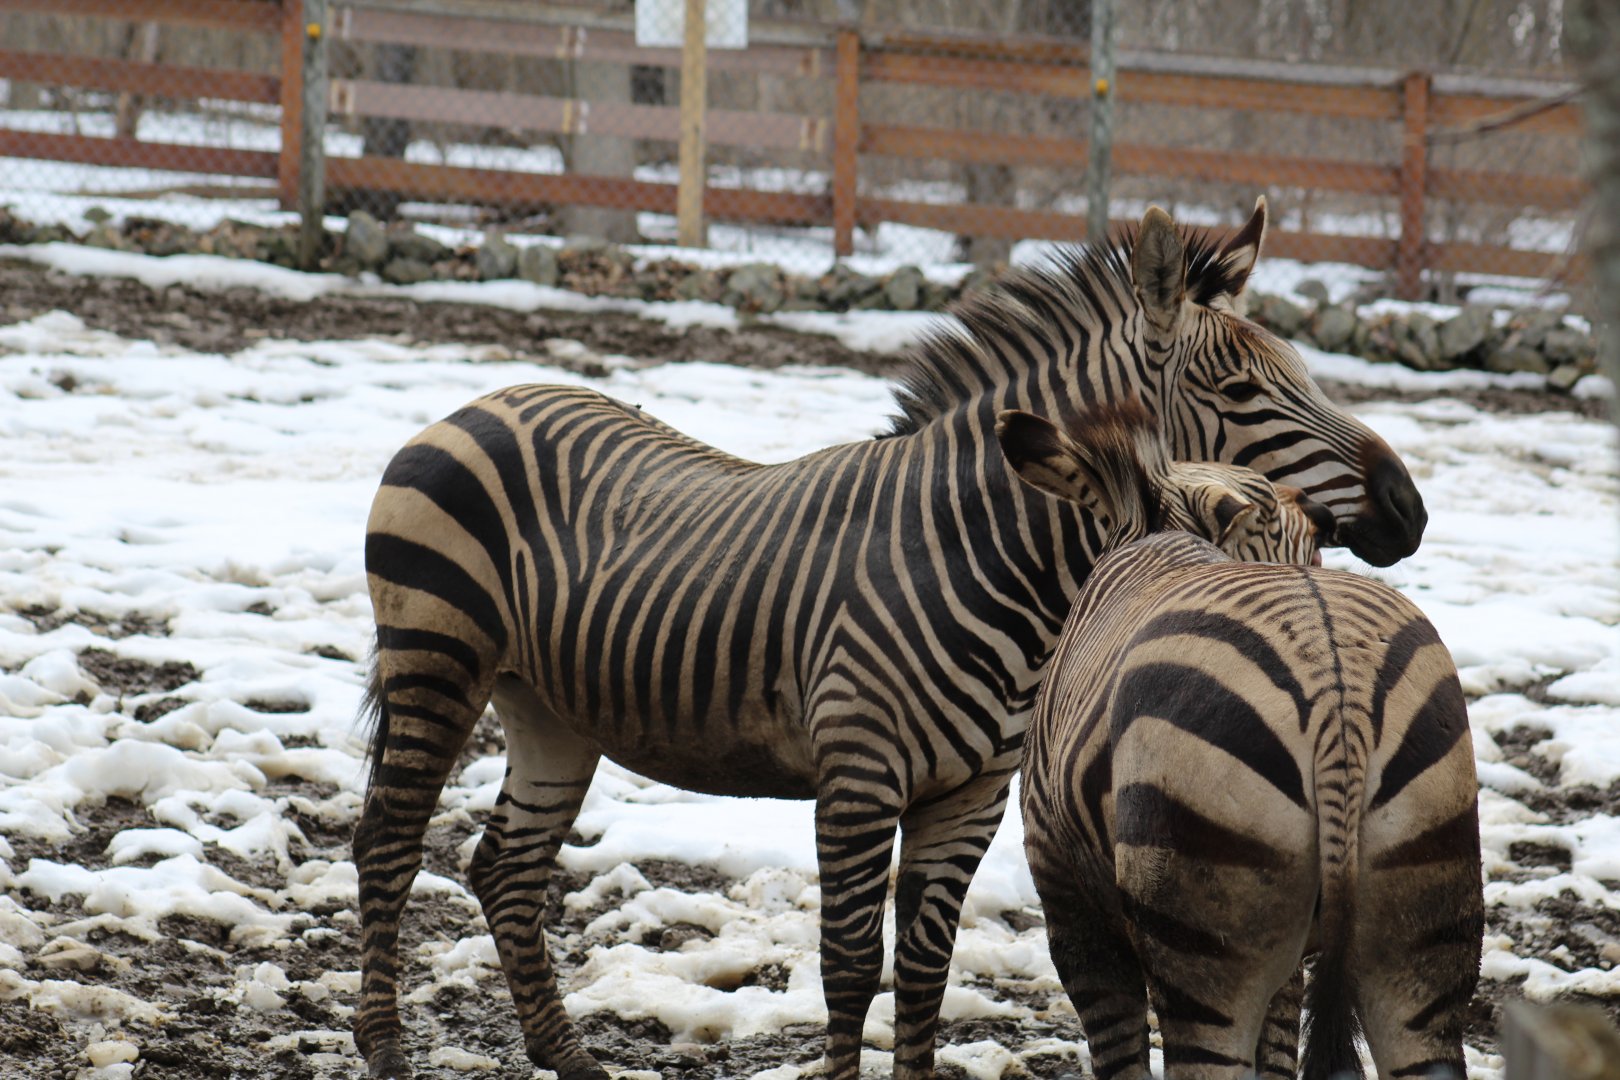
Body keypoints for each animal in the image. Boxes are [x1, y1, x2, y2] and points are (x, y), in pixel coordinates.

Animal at [352, 198, 1429, 1080]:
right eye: (1245, 394)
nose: (1410, 510)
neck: (995, 561)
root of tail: (484, 400)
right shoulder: (859, 775)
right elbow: (846, 963)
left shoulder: (969, 794)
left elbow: (922, 966)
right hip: (437, 656)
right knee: (389, 844)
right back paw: (387, 1049)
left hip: (550, 707)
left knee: (506, 866)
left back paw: (567, 1055)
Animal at [1018, 518, 1482, 1076]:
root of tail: (1338, 697)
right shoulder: (1285, 957)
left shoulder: (1067, 896)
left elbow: (1120, 1056)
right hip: (1425, 917)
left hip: (1201, 922)